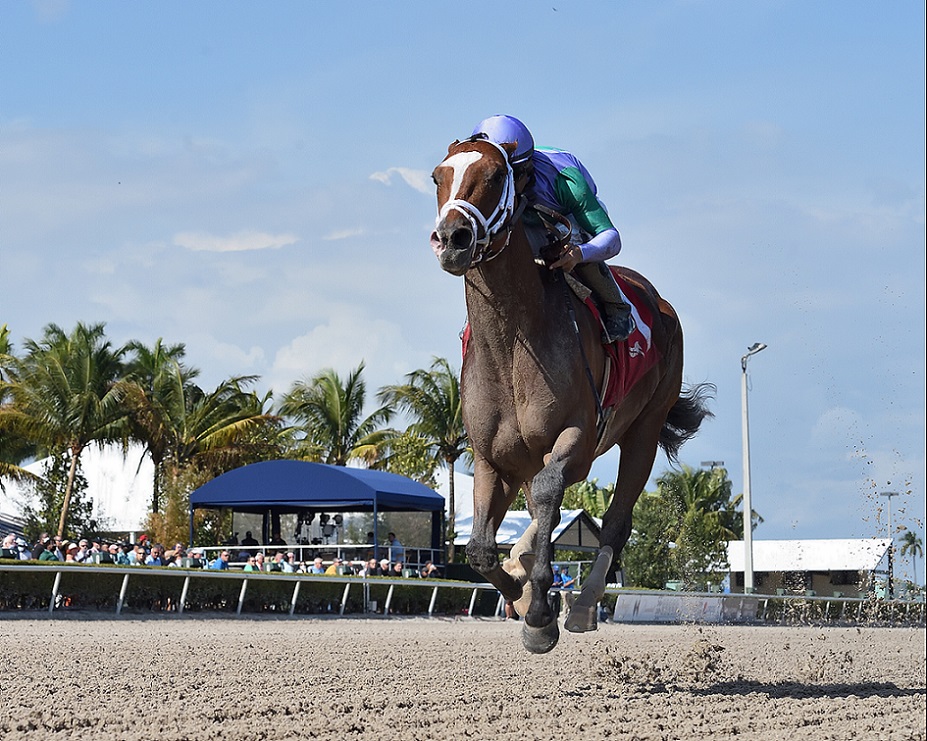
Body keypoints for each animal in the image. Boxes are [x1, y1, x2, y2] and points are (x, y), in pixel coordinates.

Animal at [429, 136, 713, 653]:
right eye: (439, 176)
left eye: (496, 175)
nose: (452, 238)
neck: (512, 344)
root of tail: (660, 303)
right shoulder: (489, 456)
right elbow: (480, 549)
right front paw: (523, 593)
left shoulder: (577, 434)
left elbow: (549, 496)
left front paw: (542, 614)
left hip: (643, 430)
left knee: (616, 520)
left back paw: (582, 606)